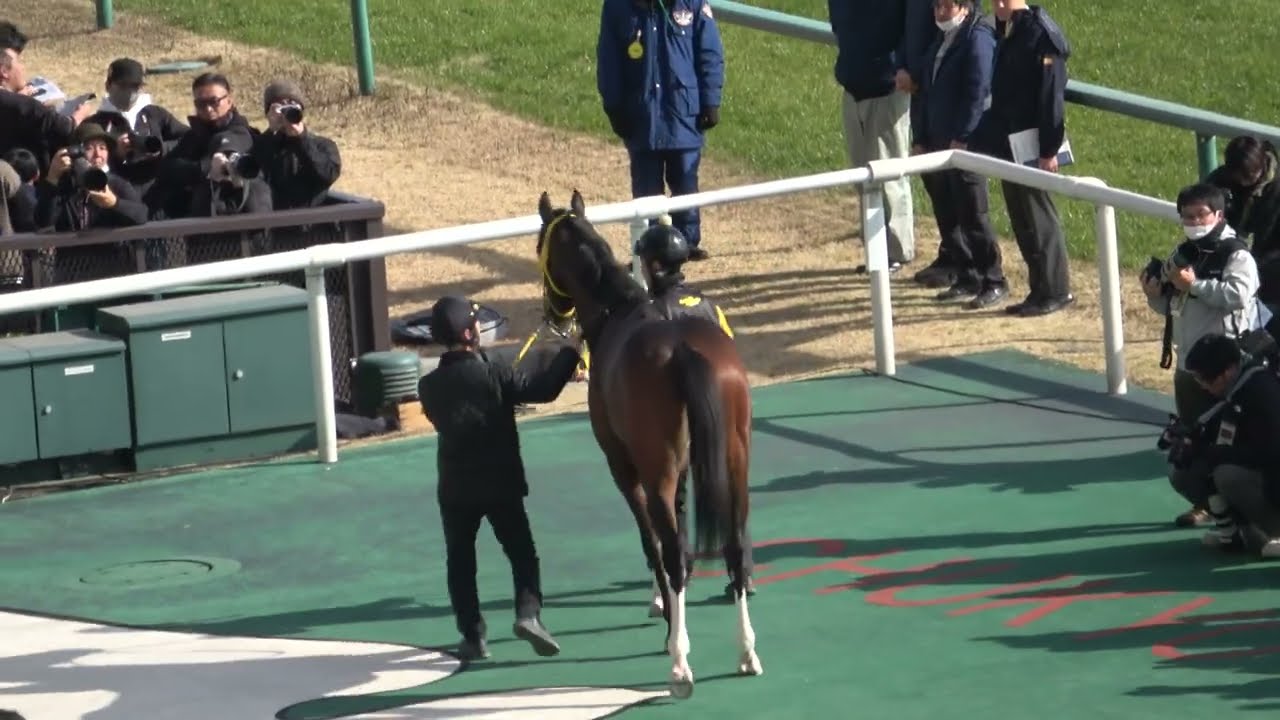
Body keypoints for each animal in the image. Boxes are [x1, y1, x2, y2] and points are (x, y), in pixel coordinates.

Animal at [535, 189, 762, 698]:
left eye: (540, 245)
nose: (552, 314)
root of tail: (684, 350)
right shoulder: (684, 467)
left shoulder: (622, 464)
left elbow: (653, 542)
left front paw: (665, 616)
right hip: (735, 460)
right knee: (736, 546)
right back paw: (746, 651)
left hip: (654, 468)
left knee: (671, 552)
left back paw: (679, 665)